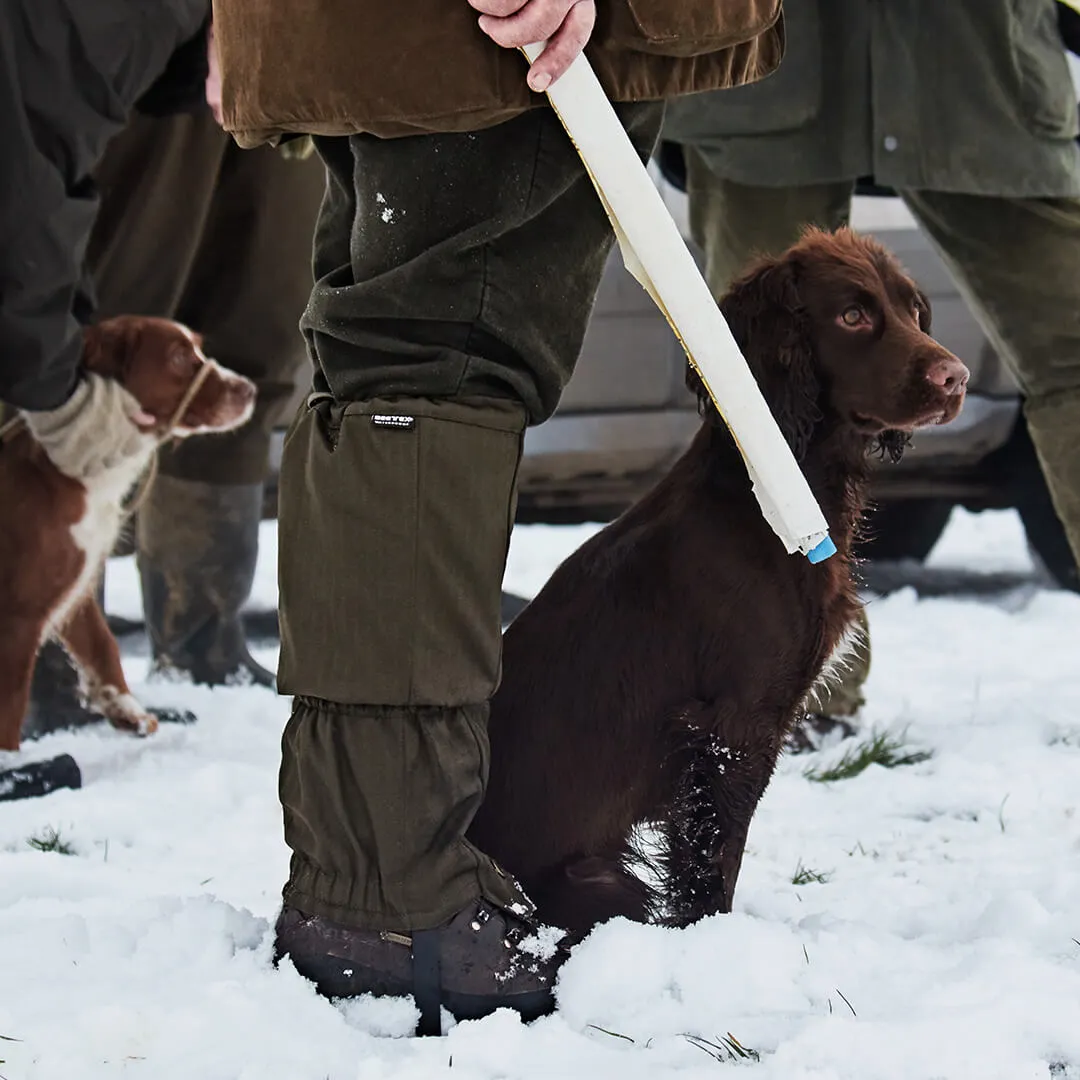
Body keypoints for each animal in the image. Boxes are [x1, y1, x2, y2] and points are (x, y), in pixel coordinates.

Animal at [0, 315, 254, 751]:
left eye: (197, 347)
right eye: (178, 357)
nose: (250, 389)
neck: (62, 472)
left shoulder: (76, 580)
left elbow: (102, 643)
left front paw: (126, 709)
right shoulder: (19, 614)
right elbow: (10, 708)